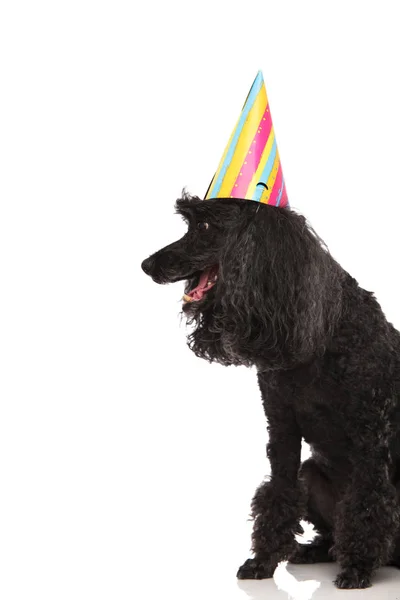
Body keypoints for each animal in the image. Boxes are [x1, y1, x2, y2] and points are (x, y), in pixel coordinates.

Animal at [140, 195, 400, 588]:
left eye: (203, 226)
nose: (147, 265)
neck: (321, 334)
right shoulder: (282, 430)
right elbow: (278, 495)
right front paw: (262, 561)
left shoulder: (371, 436)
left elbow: (367, 505)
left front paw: (357, 567)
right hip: (311, 474)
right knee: (331, 531)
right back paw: (315, 551)